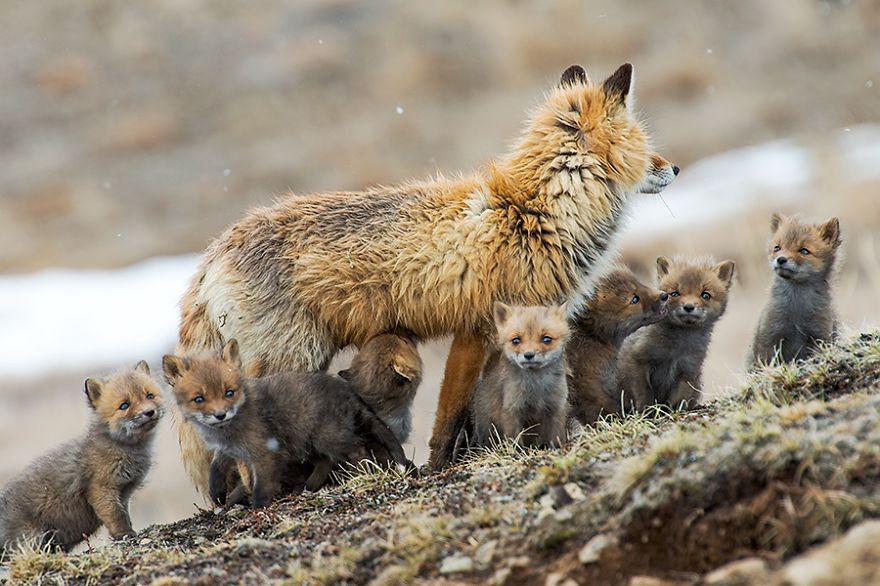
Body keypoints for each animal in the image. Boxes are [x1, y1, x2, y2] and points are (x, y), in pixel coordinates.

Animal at [0, 362, 162, 555]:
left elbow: (125, 515)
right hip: (33, 539)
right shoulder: (101, 489)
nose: (149, 412)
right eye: (124, 405)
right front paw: (125, 534)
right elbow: (116, 517)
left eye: (149, 395)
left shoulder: (124, 493)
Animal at [163, 339, 411, 508]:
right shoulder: (231, 450)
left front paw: (258, 508)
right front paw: (217, 493)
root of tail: (347, 391)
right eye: (199, 399)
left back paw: (362, 474)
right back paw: (308, 487)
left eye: (229, 392)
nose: (220, 415)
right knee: (326, 462)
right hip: (310, 442)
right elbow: (216, 467)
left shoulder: (264, 452)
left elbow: (261, 487)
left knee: (357, 451)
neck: (227, 432)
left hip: (327, 437)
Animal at [467, 303, 570, 449]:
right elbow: (514, 439)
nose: (529, 355)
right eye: (516, 340)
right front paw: (517, 451)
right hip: (487, 427)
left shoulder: (556, 408)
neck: (536, 388)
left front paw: (556, 449)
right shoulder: (512, 410)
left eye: (546, 339)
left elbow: (555, 438)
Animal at [617, 256, 735, 410]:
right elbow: (644, 392)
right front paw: (647, 411)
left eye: (705, 295)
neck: (675, 351)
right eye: (674, 294)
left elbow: (680, 399)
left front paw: (672, 411)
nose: (689, 307)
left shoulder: (689, 370)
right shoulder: (637, 358)